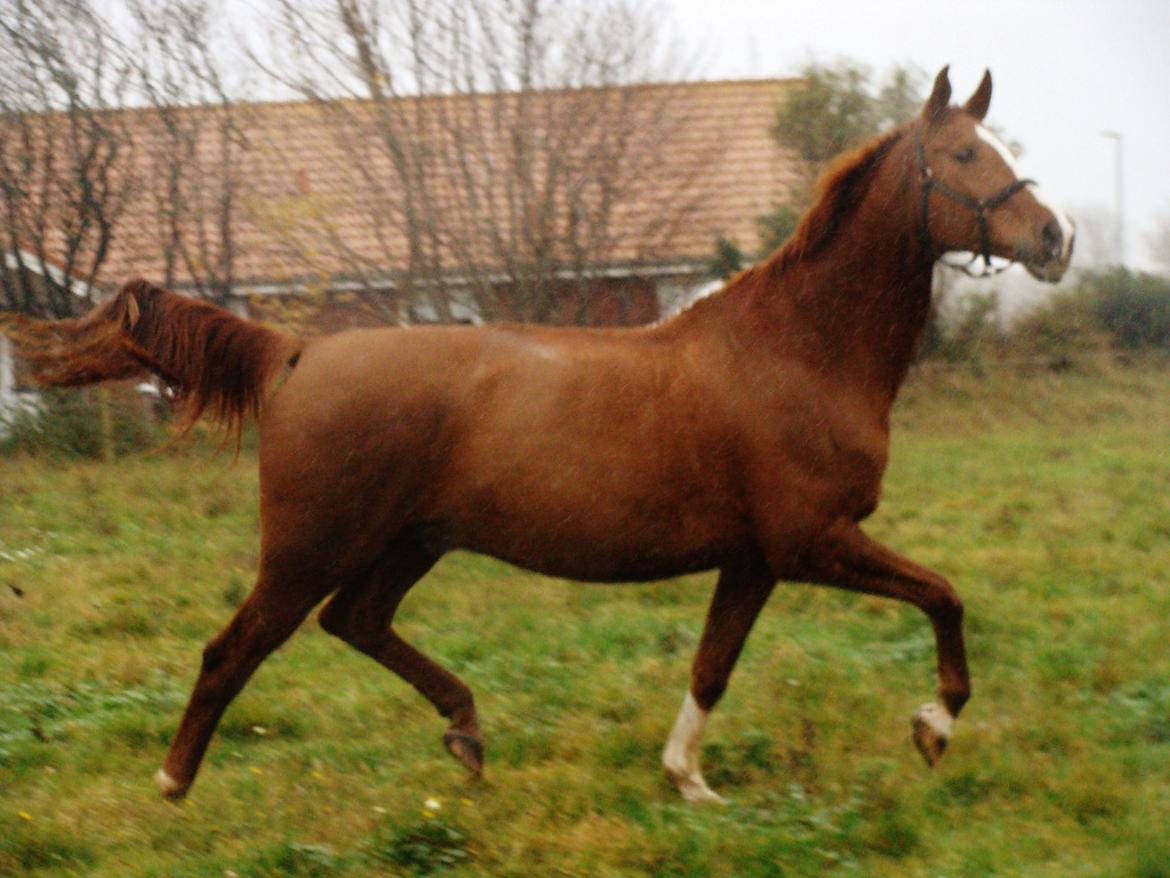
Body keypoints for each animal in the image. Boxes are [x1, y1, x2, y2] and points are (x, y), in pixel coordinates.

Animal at [4, 70, 1071, 805]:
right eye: (964, 157)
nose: (1053, 239)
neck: (796, 350)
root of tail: (293, 352)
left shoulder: (756, 559)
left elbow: (712, 665)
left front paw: (688, 780)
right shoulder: (815, 543)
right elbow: (945, 596)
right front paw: (934, 725)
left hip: (410, 543)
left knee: (356, 623)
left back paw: (467, 733)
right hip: (311, 548)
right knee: (235, 649)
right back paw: (174, 784)